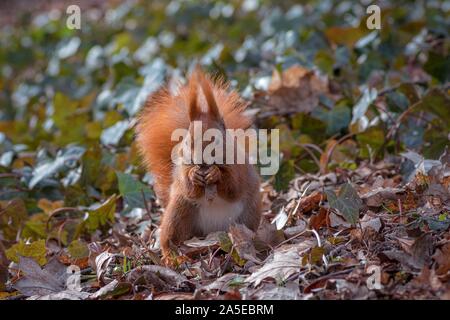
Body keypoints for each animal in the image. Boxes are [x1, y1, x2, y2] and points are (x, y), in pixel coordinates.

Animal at [135, 69, 262, 258]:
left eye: (216, 140)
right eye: (187, 142)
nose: (200, 161)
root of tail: (211, 233)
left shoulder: (240, 168)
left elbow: (233, 187)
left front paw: (216, 173)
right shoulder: (182, 168)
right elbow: (189, 188)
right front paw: (193, 174)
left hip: (249, 214)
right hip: (179, 213)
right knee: (170, 236)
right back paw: (171, 256)